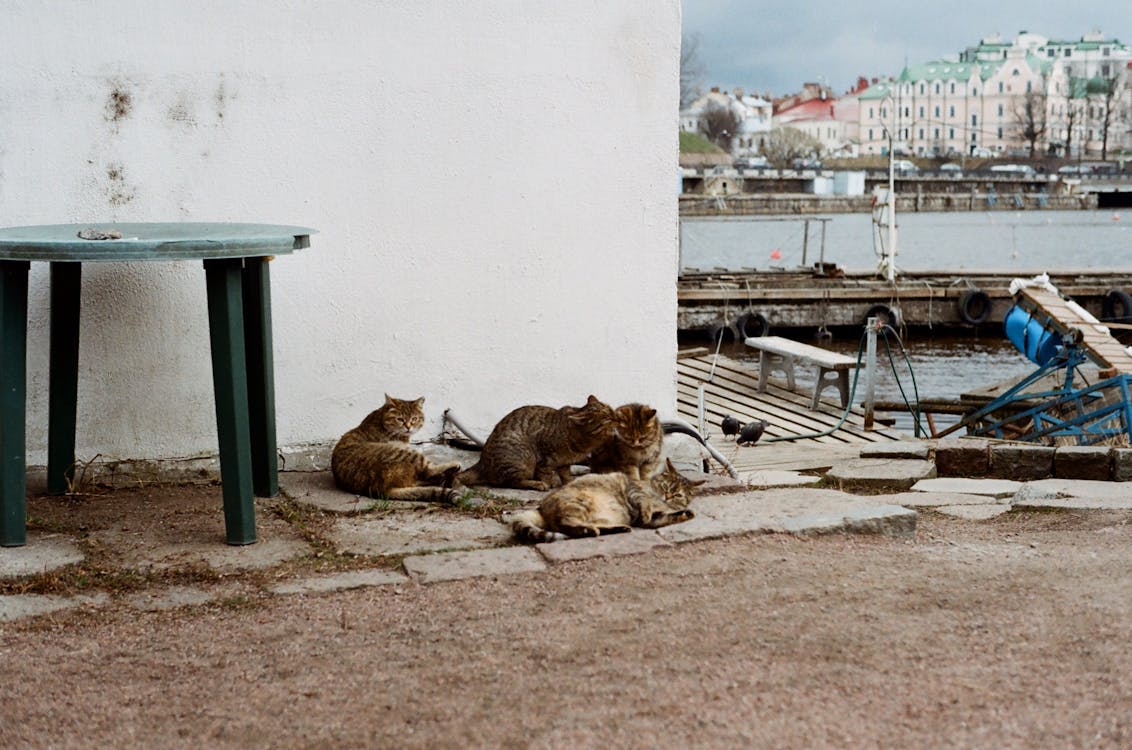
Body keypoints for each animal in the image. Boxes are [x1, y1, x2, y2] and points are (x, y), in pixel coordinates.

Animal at [330, 395, 461, 502]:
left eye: (414, 419)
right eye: (400, 419)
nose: (408, 427)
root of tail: (381, 488)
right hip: (406, 452)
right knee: (428, 470)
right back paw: (452, 467)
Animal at [455, 393, 615, 493]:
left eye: (611, 410)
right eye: (606, 419)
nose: (616, 417)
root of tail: (481, 463)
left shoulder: (565, 462)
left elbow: (565, 473)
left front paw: (570, 481)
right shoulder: (544, 456)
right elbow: (545, 472)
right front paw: (550, 482)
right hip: (523, 457)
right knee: (512, 482)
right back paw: (536, 484)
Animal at [502, 457, 701, 545]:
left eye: (678, 494)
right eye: (666, 486)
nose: (667, 496)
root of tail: (540, 508)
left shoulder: (657, 516)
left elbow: (667, 516)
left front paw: (685, 513)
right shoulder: (634, 491)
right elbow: (644, 503)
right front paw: (646, 511)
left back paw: (617, 528)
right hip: (579, 503)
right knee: (567, 524)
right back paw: (588, 530)